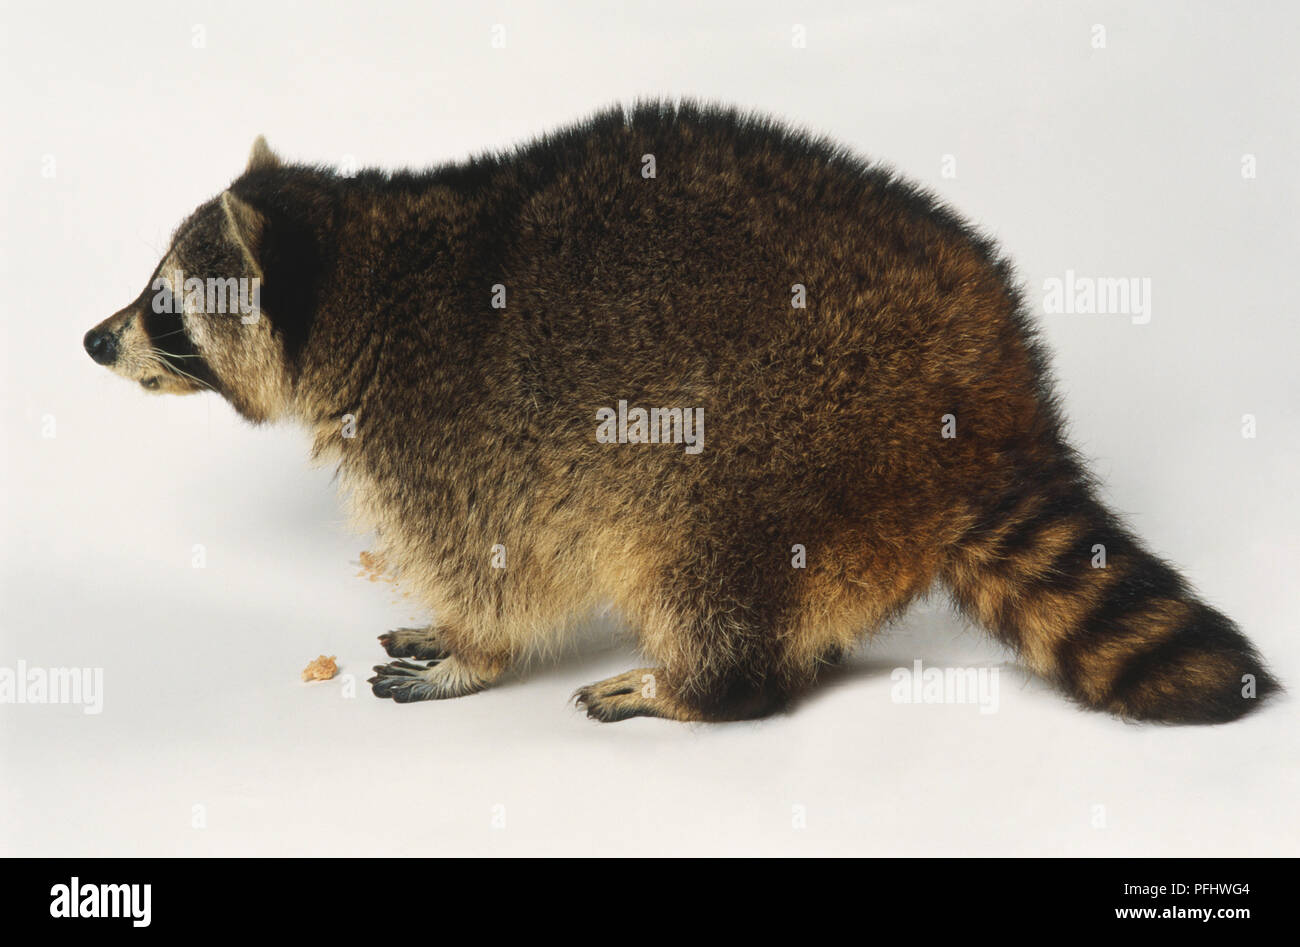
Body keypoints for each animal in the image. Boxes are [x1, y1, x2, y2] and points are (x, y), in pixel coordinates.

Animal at [83, 102, 1277, 724]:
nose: (95, 339)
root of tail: (992, 397)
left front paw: (472, 650)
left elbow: (496, 571)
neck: (360, 268)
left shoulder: (447, 434)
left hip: (785, 453)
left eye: (165, 306)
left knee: (708, 577)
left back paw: (696, 684)